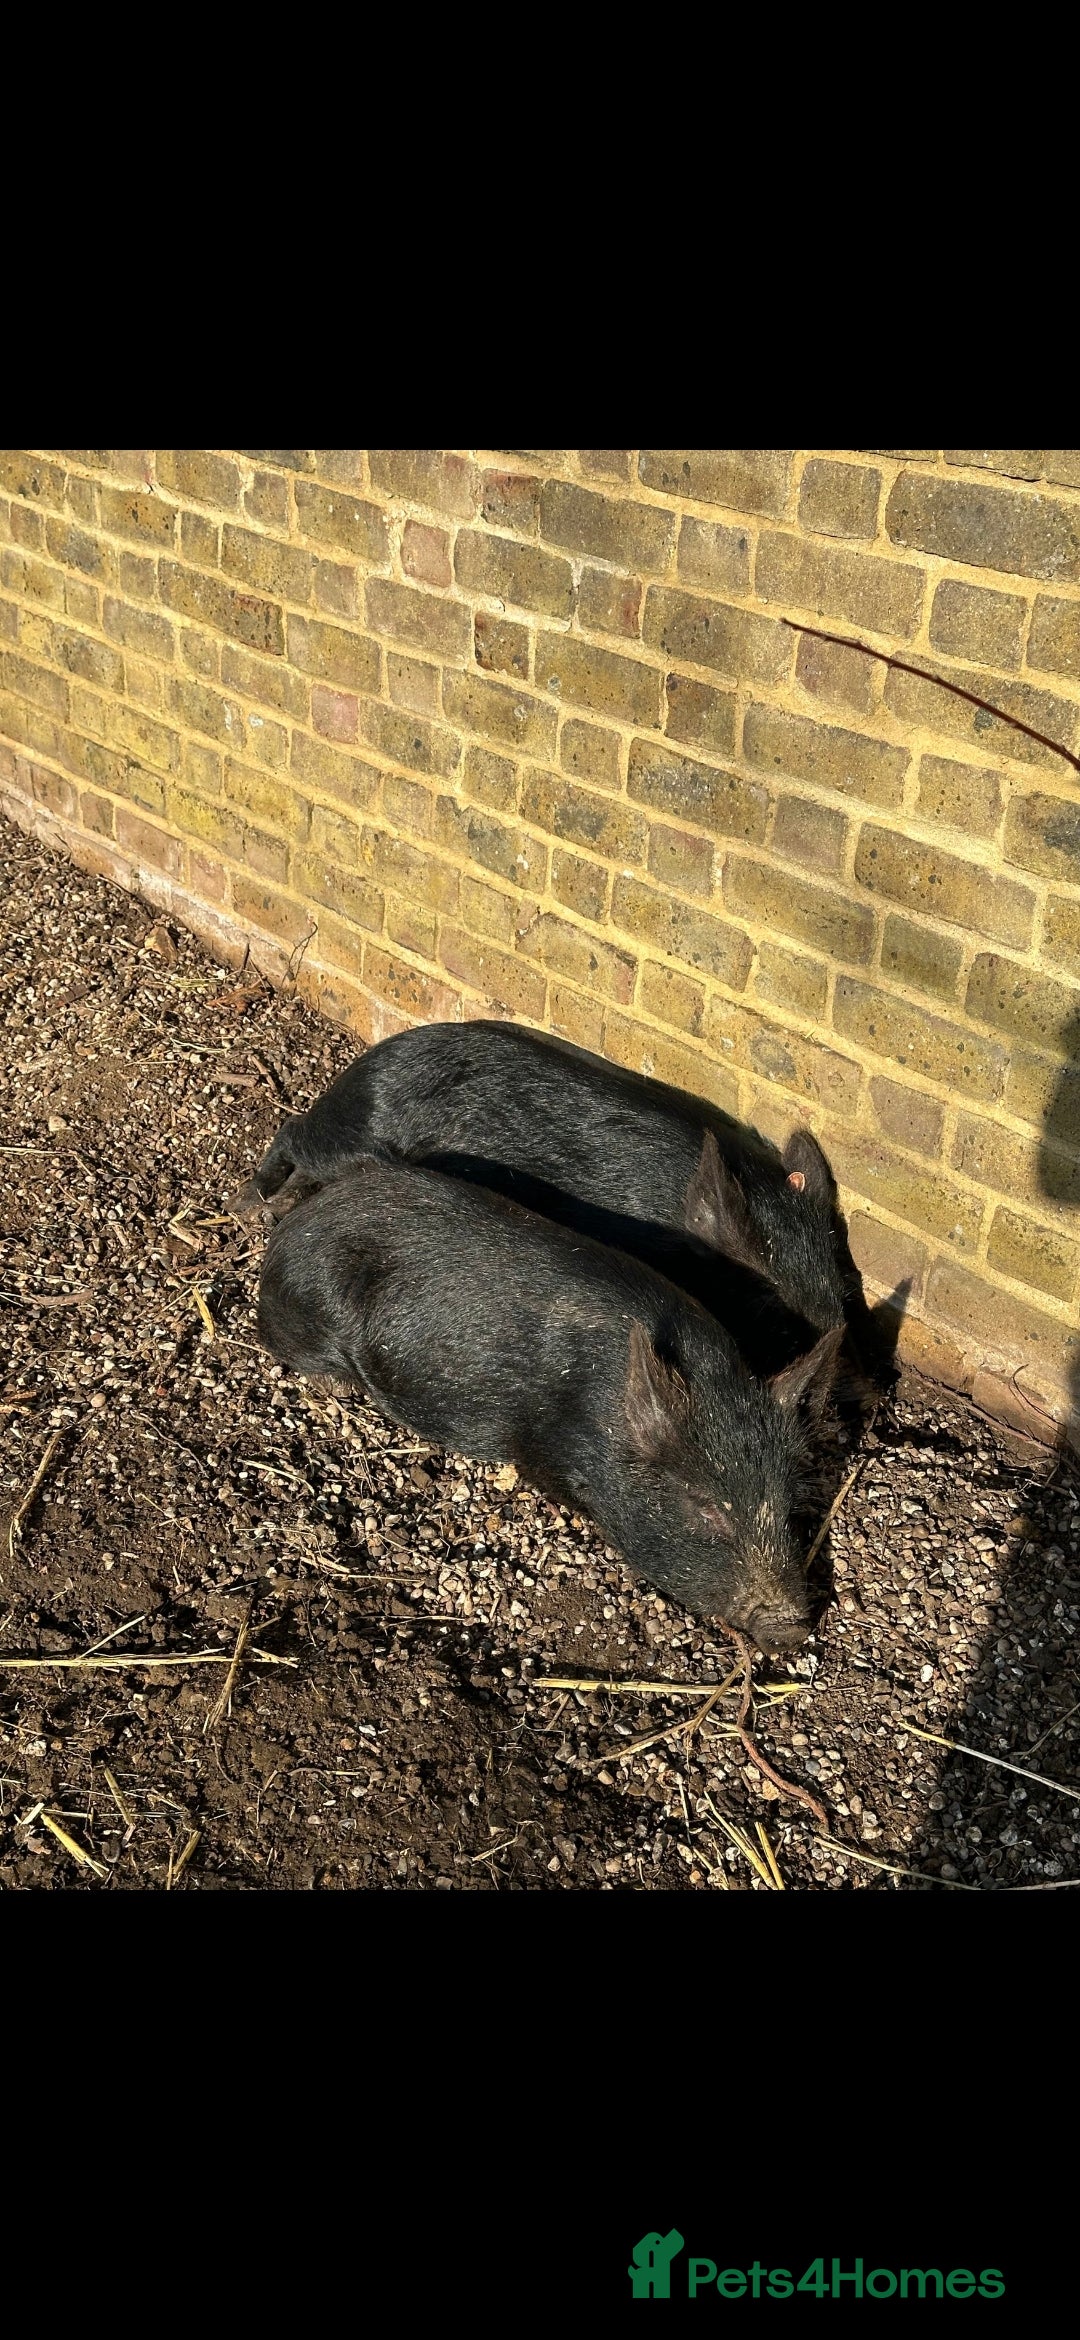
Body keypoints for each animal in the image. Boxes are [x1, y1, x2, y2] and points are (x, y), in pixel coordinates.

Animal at [233, 1019, 870, 1379]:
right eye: (767, 1304)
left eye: (842, 1290)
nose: (838, 1363)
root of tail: (362, 1068)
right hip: (348, 1136)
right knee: (291, 1128)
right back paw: (252, 1203)